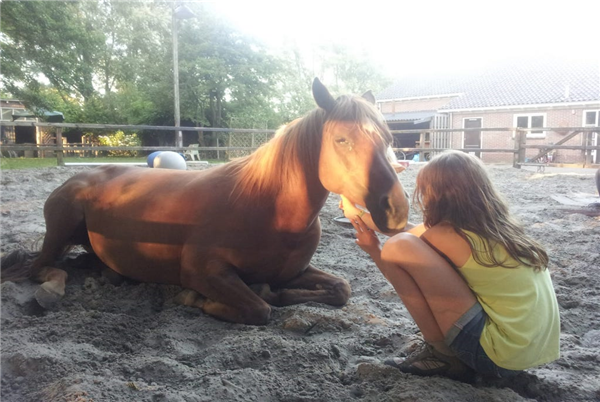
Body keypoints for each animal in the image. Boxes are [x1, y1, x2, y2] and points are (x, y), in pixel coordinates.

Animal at [0, 77, 410, 324]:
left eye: (389, 138)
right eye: (341, 139)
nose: (396, 210)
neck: (268, 210)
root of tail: (80, 176)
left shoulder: (294, 270)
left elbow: (341, 289)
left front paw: (278, 291)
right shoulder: (202, 270)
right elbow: (259, 307)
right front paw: (197, 300)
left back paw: (106, 275)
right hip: (61, 228)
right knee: (43, 267)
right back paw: (50, 290)